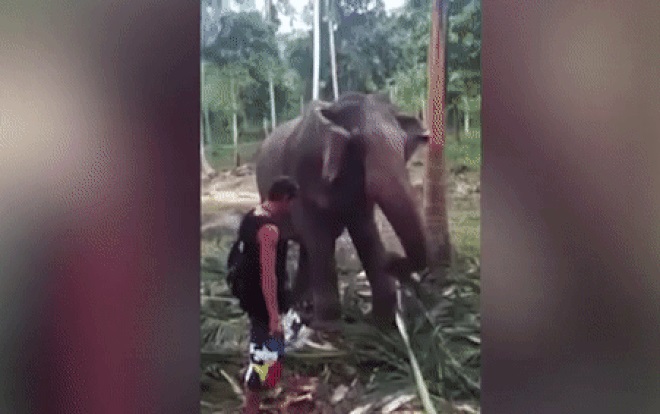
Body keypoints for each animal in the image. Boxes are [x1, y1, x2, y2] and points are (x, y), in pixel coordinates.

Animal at [254, 92, 430, 332]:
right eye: (357, 145)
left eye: (404, 146)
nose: (393, 259)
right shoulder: (300, 174)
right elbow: (318, 236)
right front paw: (328, 327)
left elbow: (365, 232)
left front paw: (380, 323)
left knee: (306, 247)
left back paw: (301, 305)